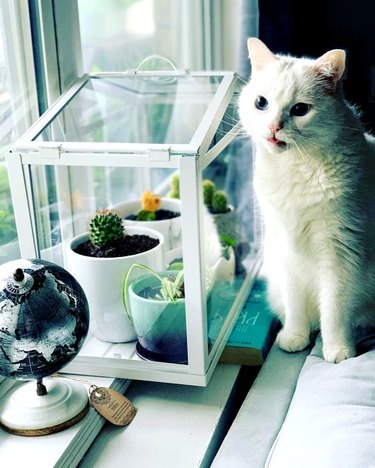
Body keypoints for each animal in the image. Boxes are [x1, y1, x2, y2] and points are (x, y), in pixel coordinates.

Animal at [239, 38, 375, 364]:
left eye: (300, 109)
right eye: (261, 103)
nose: (274, 127)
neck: (295, 168)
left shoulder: (339, 253)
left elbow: (335, 310)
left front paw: (338, 350)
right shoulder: (287, 250)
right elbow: (295, 304)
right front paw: (294, 337)